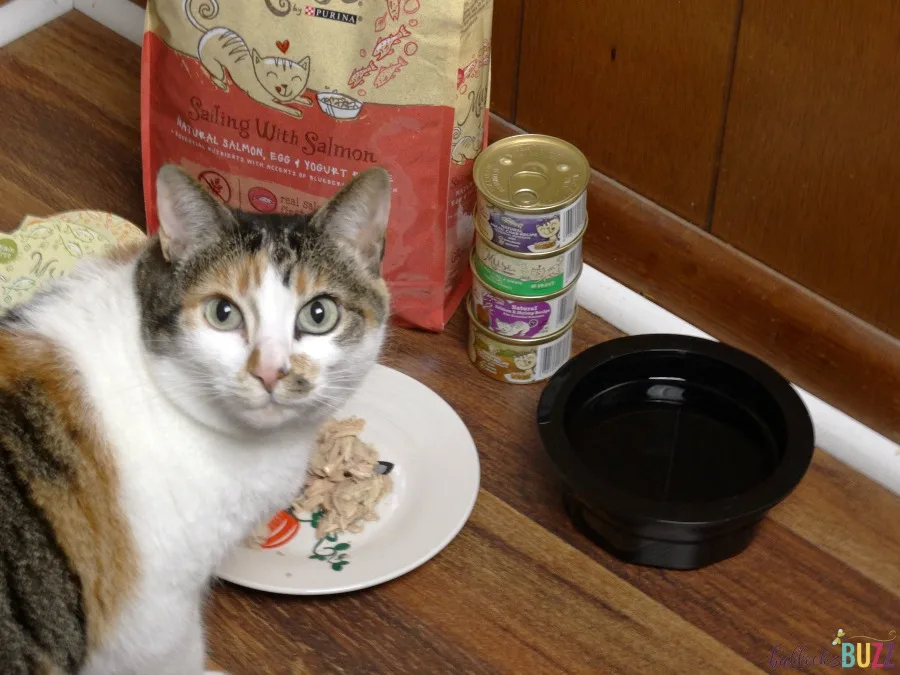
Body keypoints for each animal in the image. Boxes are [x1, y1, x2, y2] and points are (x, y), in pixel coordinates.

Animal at [183, 0, 312, 118]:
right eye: (271, 75)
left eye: (295, 78)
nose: (284, 86)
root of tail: (210, 31)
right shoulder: (262, 99)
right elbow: (281, 106)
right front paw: (294, 111)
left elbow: (292, 98)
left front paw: (304, 100)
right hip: (216, 68)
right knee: (214, 76)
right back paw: (223, 86)